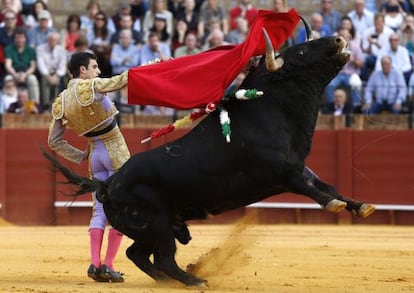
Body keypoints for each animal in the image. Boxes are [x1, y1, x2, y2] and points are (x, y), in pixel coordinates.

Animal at [42, 32, 376, 286]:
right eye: (303, 50)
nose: (339, 38)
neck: (267, 110)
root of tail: (108, 183)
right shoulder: (281, 172)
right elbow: (312, 190)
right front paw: (335, 206)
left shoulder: (299, 165)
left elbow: (328, 186)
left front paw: (360, 206)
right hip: (157, 225)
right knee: (160, 256)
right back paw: (194, 281)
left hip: (153, 227)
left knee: (139, 254)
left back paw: (167, 280)